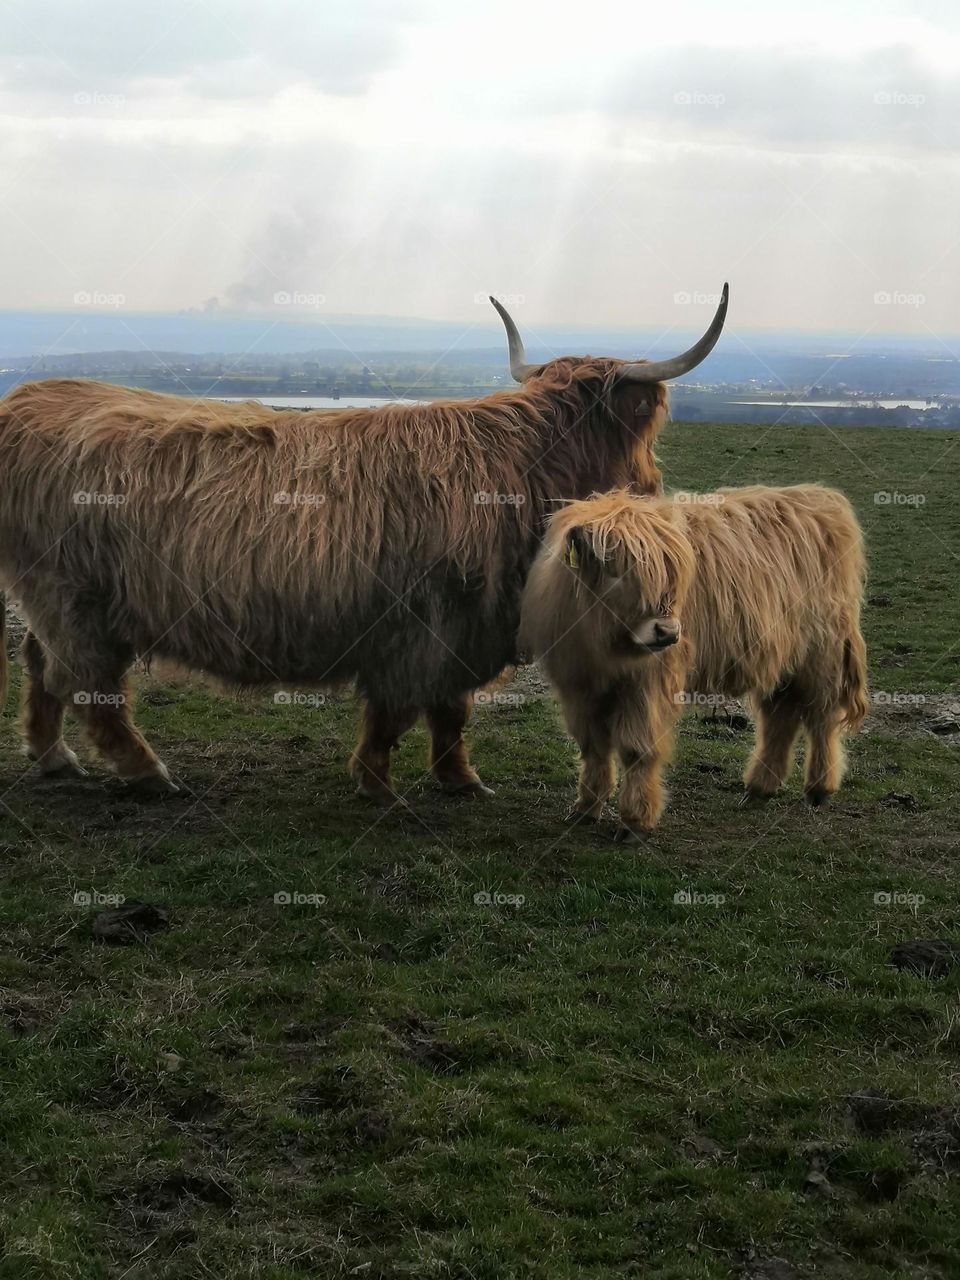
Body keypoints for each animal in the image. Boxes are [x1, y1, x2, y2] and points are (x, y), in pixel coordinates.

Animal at [0, 288, 727, 798]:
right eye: (644, 435)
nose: (653, 484)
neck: (524, 468)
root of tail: (28, 398)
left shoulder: (465, 627)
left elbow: (451, 711)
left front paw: (460, 780)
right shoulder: (426, 625)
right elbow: (397, 711)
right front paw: (377, 783)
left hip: (57, 598)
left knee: (42, 665)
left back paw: (53, 756)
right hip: (74, 599)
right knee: (89, 684)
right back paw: (146, 772)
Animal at [527, 481, 870, 839]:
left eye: (671, 573)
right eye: (614, 570)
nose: (667, 631)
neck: (605, 646)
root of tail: (818, 496)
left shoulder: (647, 687)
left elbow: (638, 749)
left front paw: (634, 822)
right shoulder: (579, 687)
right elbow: (593, 745)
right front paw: (585, 808)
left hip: (822, 655)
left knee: (821, 717)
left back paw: (819, 788)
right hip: (782, 658)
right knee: (780, 716)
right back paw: (760, 787)